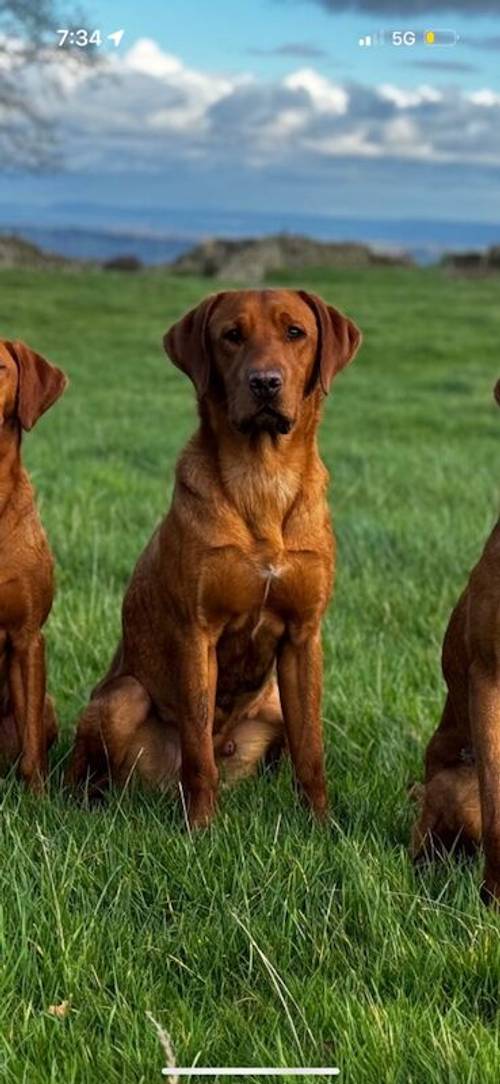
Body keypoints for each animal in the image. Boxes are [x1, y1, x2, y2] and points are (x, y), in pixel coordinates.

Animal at [68, 288, 360, 819]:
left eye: (295, 332)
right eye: (232, 336)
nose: (265, 383)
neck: (263, 477)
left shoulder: (304, 637)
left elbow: (311, 750)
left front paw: (321, 824)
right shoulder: (197, 633)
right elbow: (198, 749)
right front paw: (201, 827)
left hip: (273, 705)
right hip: (120, 700)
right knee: (96, 768)